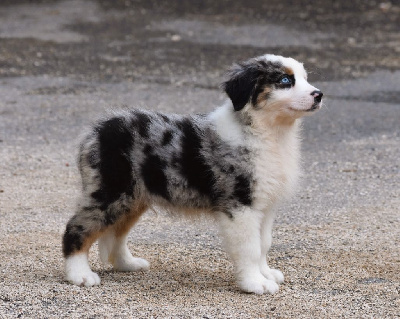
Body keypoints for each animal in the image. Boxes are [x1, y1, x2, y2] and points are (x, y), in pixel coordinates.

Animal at [62, 54, 322, 296]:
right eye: (285, 80)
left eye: (305, 77)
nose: (319, 95)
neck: (268, 132)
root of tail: (96, 130)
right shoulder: (240, 205)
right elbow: (250, 247)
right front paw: (255, 283)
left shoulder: (265, 205)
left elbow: (264, 244)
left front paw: (266, 273)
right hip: (110, 191)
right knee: (77, 227)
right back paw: (80, 275)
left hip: (133, 197)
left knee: (116, 233)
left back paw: (127, 264)